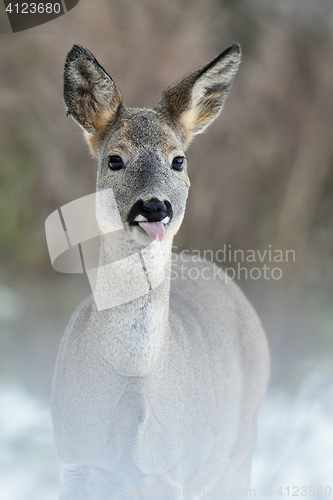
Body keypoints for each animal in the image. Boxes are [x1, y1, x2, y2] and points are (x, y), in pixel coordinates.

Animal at [51, 44, 270, 500]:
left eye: (179, 160)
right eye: (115, 159)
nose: (154, 206)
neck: (133, 374)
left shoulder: (174, 472)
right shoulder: (74, 457)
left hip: (240, 448)